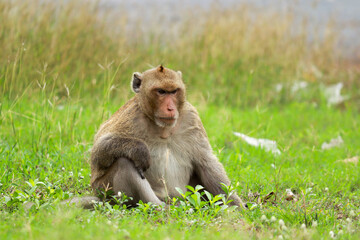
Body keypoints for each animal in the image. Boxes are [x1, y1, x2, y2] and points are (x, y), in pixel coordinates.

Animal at [90, 65, 248, 208]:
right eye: (161, 92)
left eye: (173, 92)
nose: (170, 108)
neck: (163, 129)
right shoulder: (131, 116)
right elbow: (99, 150)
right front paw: (140, 151)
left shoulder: (191, 118)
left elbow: (207, 163)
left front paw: (237, 206)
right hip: (104, 190)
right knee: (124, 163)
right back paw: (160, 207)